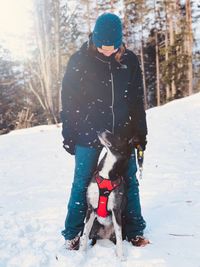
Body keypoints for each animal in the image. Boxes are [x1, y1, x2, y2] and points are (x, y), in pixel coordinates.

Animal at [79, 131, 133, 260]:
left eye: (118, 135)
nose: (101, 130)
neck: (107, 176)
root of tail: (105, 236)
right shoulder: (90, 208)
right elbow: (84, 235)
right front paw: (80, 255)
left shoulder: (116, 210)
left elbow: (119, 238)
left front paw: (121, 257)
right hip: (95, 225)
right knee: (91, 237)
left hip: (122, 223)